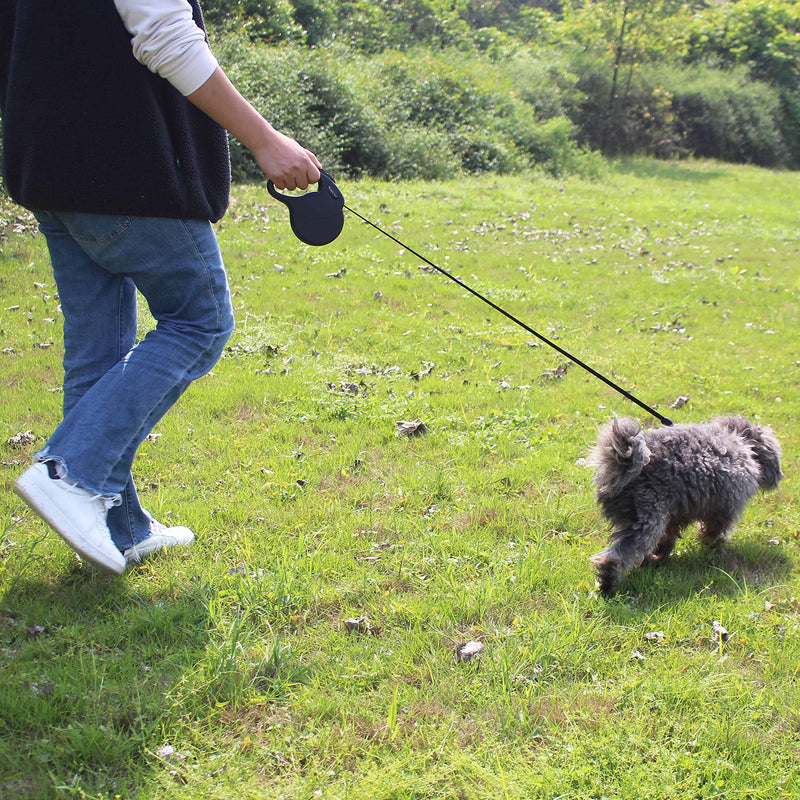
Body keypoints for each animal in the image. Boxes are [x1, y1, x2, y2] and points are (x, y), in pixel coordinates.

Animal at [588, 416, 780, 596]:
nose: (778, 478)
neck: (742, 442)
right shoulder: (725, 507)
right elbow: (715, 528)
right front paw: (713, 542)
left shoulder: (676, 512)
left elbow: (669, 535)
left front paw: (660, 556)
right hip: (648, 516)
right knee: (616, 557)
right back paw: (608, 587)